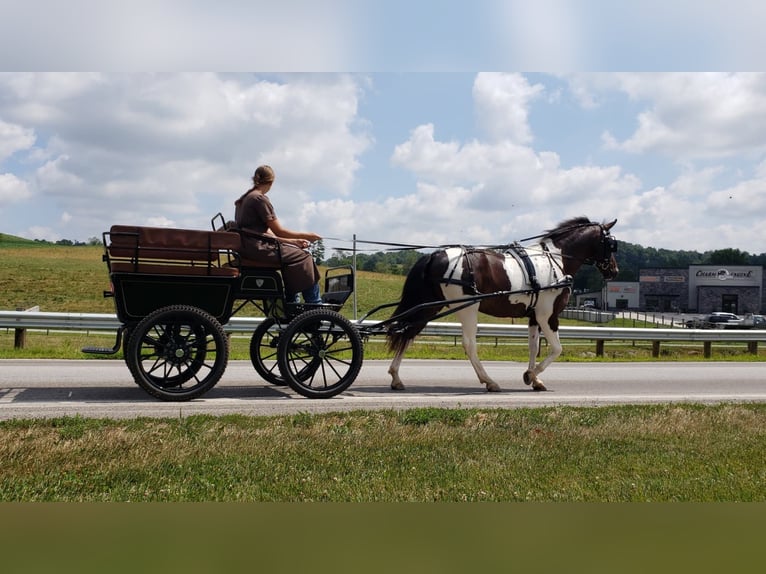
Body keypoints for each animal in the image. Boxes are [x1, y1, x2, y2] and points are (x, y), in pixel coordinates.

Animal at [388, 218, 620, 394]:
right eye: (611, 244)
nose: (614, 271)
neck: (555, 260)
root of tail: (434, 255)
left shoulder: (534, 316)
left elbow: (534, 347)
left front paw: (535, 380)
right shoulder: (547, 315)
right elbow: (557, 348)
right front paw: (530, 375)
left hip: (428, 307)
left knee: (408, 333)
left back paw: (396, 377)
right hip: (467, 308)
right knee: (469, 344)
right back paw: (489, 381)